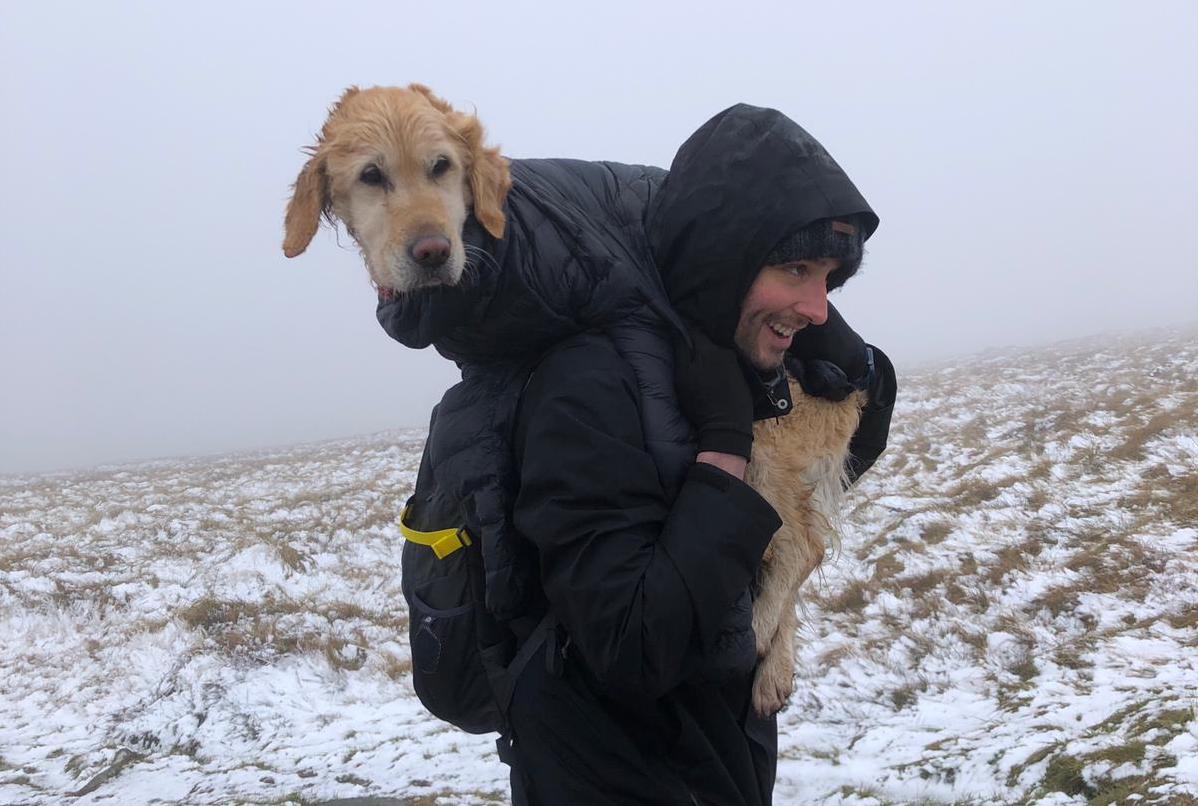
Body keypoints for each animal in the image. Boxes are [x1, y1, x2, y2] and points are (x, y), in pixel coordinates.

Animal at [280, 85, 862, 713]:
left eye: (442, 167)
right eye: (371, 176)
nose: (432, 251)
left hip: (771, 441)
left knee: (800, 545)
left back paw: (755, 635)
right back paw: (775, 668)